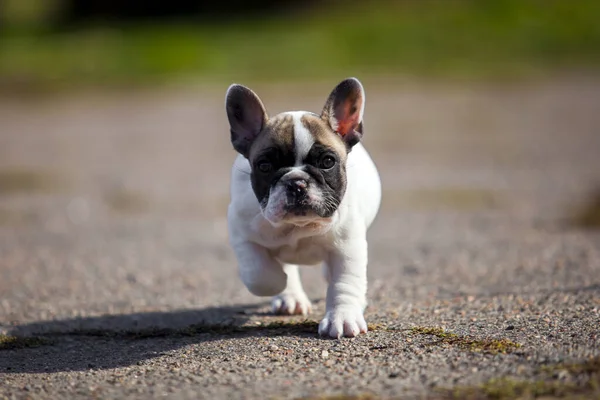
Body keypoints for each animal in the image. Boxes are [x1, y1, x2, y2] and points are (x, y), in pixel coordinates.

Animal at [223, 77, 382, 338]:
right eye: (264, 166)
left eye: (327, 162)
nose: (297, 182)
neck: (299, 226)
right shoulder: (241, 233)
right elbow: (259, 273)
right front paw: (281, 283)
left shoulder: (348, 247)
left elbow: (345, 283)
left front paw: (343, 317)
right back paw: (290, 296)